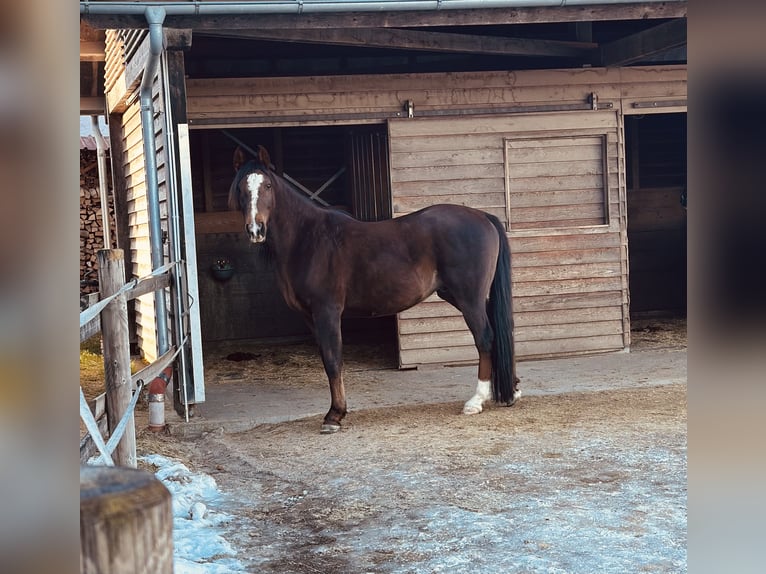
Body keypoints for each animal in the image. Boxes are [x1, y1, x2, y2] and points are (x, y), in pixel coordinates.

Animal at [228, 145, 520, 433]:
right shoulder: (310, 317)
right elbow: (326, 358)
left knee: (485, 337)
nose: (256, 229)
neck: (308, 238)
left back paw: (476, 401)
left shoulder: (327, 311)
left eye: (267, 185)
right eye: (241, 188)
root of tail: (482, 216)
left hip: (469, 298)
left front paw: (334, 415)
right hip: (460, 296)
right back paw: (512, 391)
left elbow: (333, 360)